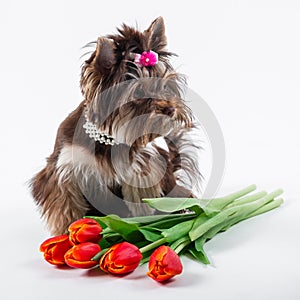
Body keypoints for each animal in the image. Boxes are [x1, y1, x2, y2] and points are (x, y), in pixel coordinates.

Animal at [29, 17, 202, 236]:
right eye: (138, 93)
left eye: (165, 86)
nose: (171, 108)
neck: (108, 140)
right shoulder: (65, 169)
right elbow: (66, 204)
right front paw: (66, 233)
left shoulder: (140, 170)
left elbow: (139, 199)